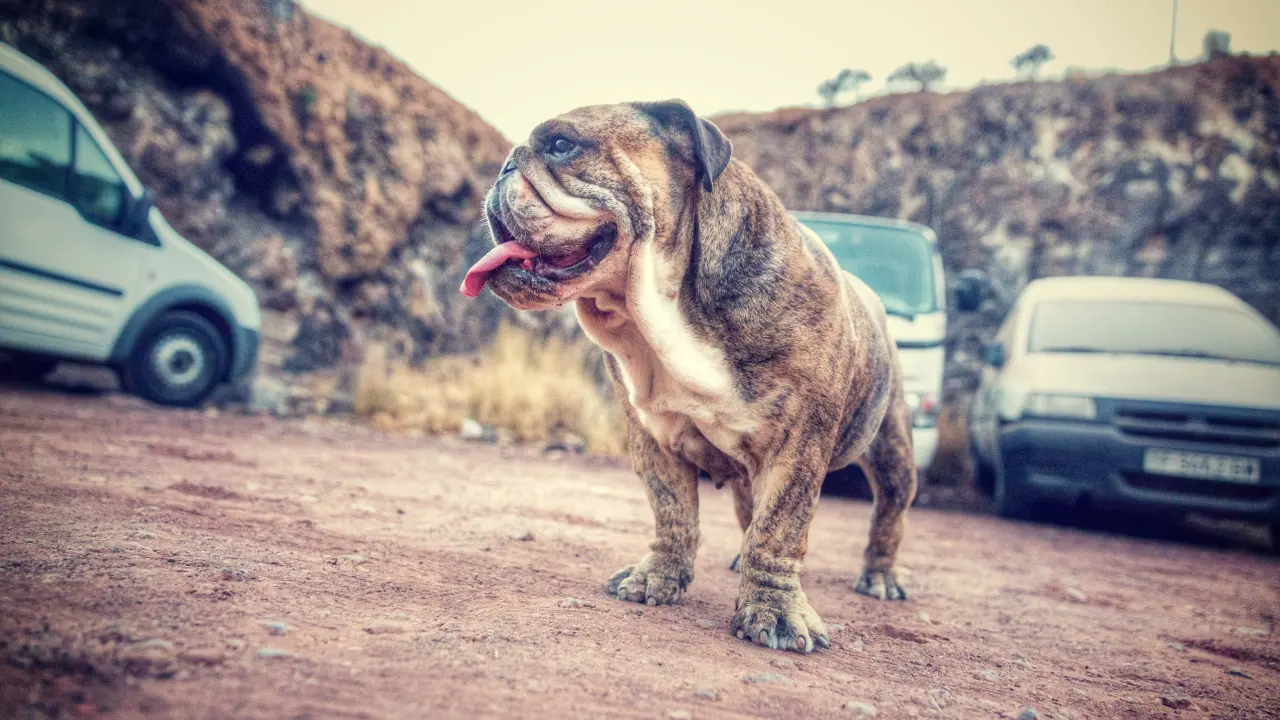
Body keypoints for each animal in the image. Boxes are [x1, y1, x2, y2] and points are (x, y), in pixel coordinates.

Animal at [461, 100, 917, 654]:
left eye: (562, 145)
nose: (505, 165)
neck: (668, 309)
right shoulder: (652, 437)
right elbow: (673, 511)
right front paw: (657, 578)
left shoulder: (799, 447)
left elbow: (780, 527)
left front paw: (776, 611)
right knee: (747, 513)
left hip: (892, 449)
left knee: (887, 513)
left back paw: (881, 578)